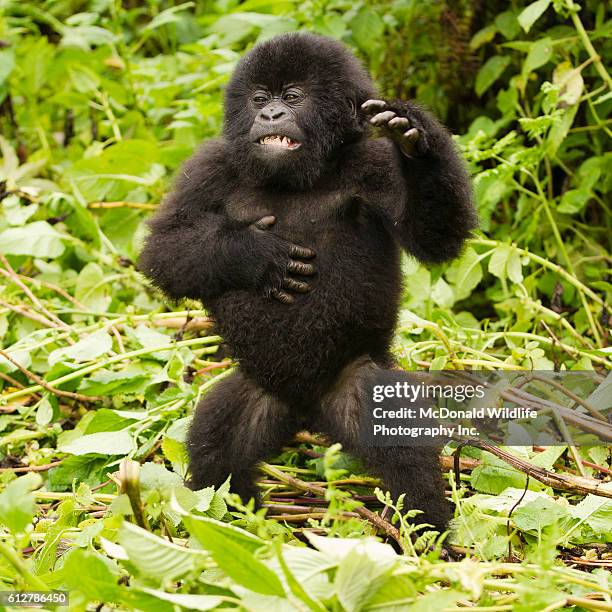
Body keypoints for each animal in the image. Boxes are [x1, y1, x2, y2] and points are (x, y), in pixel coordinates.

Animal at [140, 33, 478, 532]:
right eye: (259, 98)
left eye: (293, 97)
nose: (270, 115)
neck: (299, 178)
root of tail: (306, 410)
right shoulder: (209, 167)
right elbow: (165, 250)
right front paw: (255, 255)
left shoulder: (372, 165)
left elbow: (436, 237)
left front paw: (416, 141)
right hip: (259, 387)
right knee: (216, 443)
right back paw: (230, 520)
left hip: (356, 382)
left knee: (400, 442)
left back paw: (427, 530)